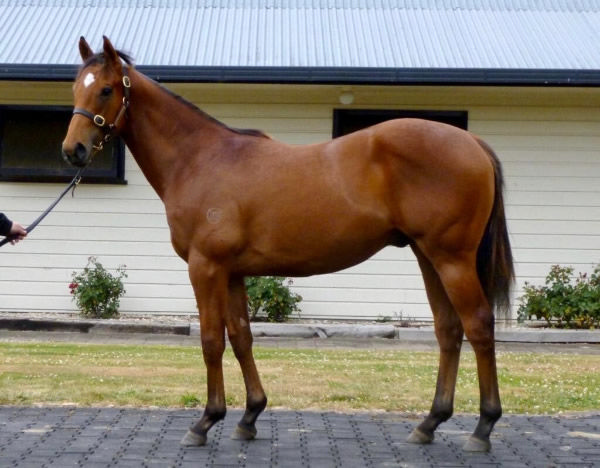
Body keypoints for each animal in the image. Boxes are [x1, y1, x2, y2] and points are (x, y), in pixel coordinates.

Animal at [61, 37, 512, 454]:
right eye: (76, 88)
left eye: (106, 89)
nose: (73, 150)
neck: (199, 159)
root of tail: (473, 143)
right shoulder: (232, 272)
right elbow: (241, 337)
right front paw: (249, 416)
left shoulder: (205, 267)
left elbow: (211, 341)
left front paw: (206, 421)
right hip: (428, 256)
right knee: (449, 329)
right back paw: (430, 423)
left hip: (451, 259)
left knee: (478, 325)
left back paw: (483, 427)